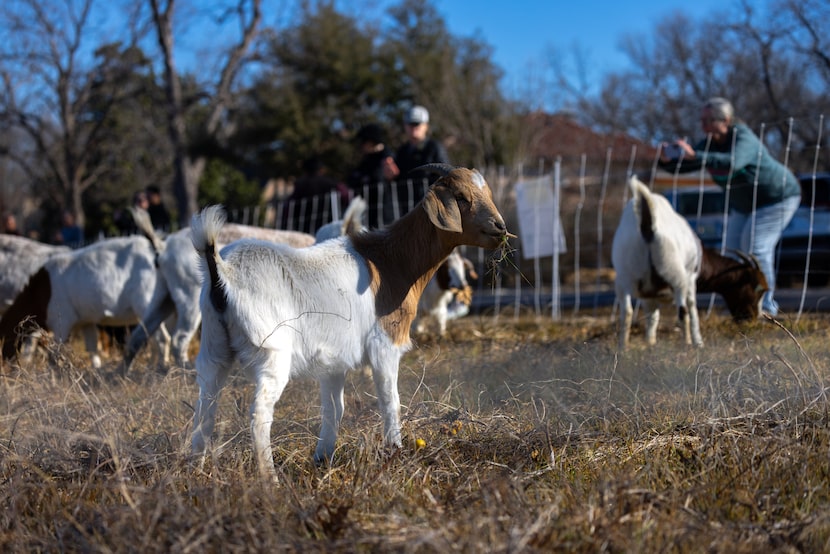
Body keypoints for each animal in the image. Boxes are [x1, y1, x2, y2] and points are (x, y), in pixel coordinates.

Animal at [0, 234, 167, 368]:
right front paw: (97, 371)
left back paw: (159, 368)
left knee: (161, 339)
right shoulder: (86, 322)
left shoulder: (62, 322)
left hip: (147, 305)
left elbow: (55, 354)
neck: (41, 290)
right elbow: (92, 350)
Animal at [190, 164, 511, 477]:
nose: (501, 228)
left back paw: (196, 469)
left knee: (205, 408)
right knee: (259, 414)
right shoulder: (384, 345)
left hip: (213, 348)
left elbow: (335, 409)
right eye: (461, 197)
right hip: (272, 353)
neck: (390, 261)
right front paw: (395, 452)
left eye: (486, 192)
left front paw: (322, 458)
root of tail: (223, 271)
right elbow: (390, 401)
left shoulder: (333, 361)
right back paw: (269, 478)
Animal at [612, 175, 703, 350]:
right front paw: (698, 342)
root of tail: (648, 227)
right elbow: (692, 307)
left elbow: (652, 316)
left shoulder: (648, 295)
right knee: (683, 312)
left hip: (625, 276)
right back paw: (687, 344)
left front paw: (650, 343)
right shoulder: (690, 278)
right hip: (676, 274)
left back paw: (623, 347)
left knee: (626, 312)